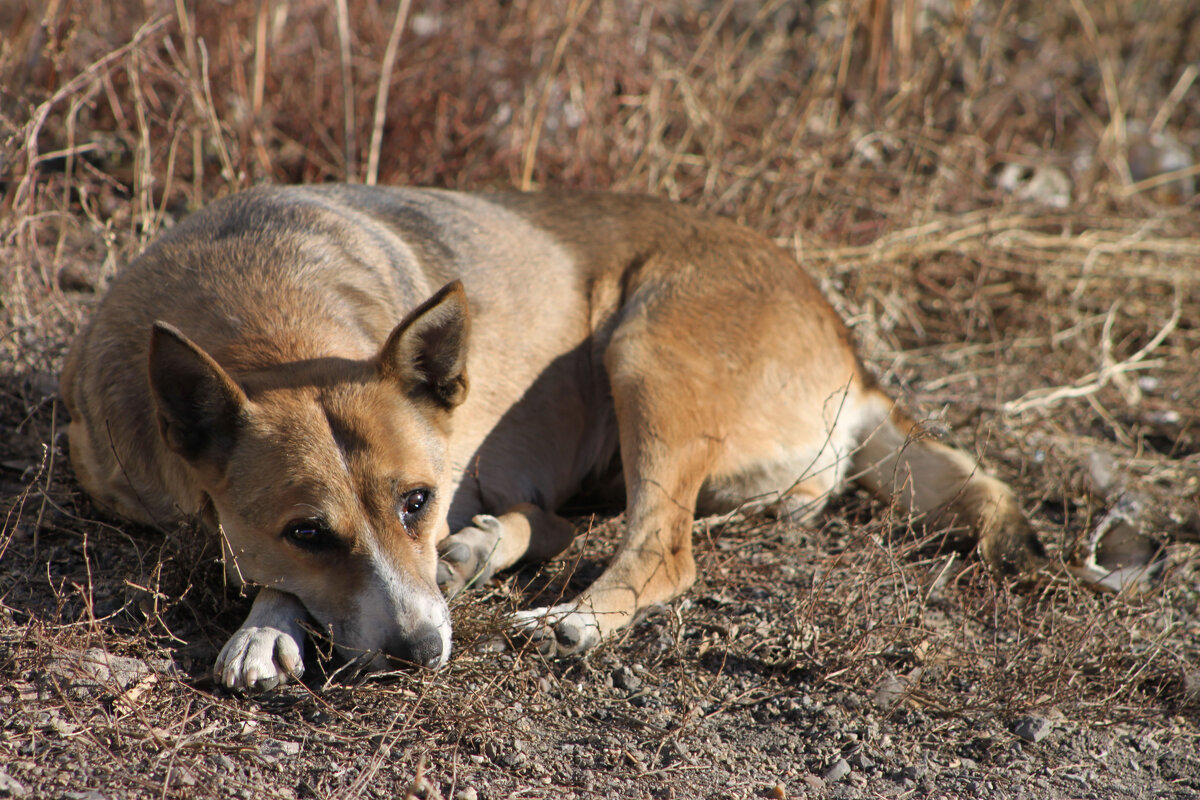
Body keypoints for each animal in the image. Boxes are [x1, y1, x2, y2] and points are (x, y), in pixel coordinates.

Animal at [60, 185, 1046, 690]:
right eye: (308, 531)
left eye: (415, 500)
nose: (423, 653)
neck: (268, 319)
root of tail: (854, 353)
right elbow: (263, 558)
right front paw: (271, 623)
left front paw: (268, 625)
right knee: (578, 522)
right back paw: (485, 551)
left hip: (646, 347)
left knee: (662, 546)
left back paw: (569, 619)